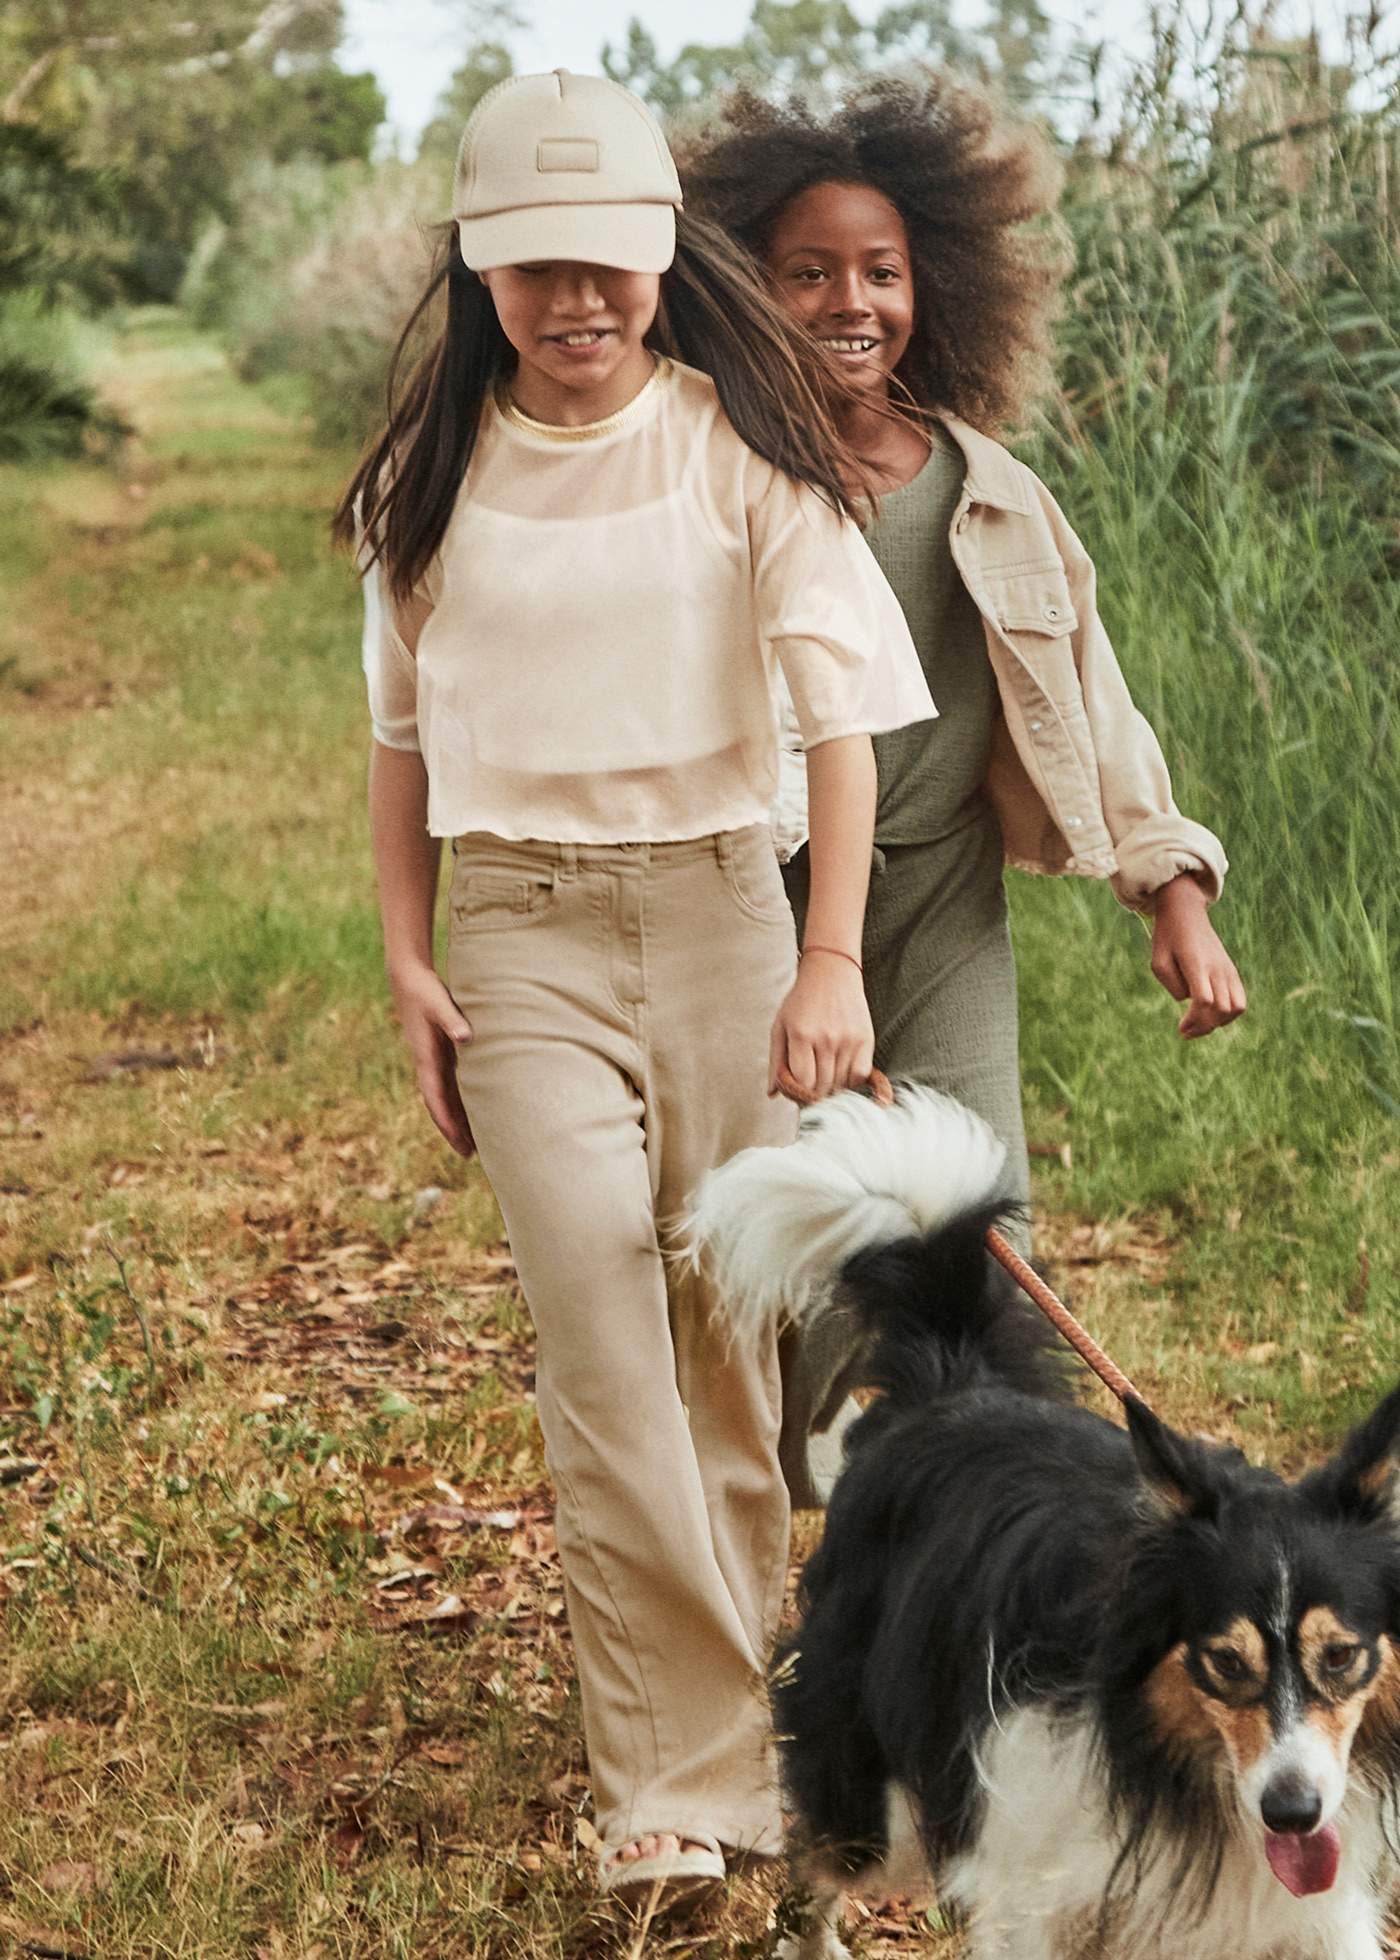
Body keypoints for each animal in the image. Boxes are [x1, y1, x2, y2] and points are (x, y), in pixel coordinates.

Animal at [686, 1089, 1396, 1960]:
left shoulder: (1312, 1913)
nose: (1292, 1814)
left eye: (1342, 1656)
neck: (1174, 1770)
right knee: (823, 1864)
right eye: (1225, 1663)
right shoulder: (1033, 1887)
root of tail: (949, 1383)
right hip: (879, 1787)